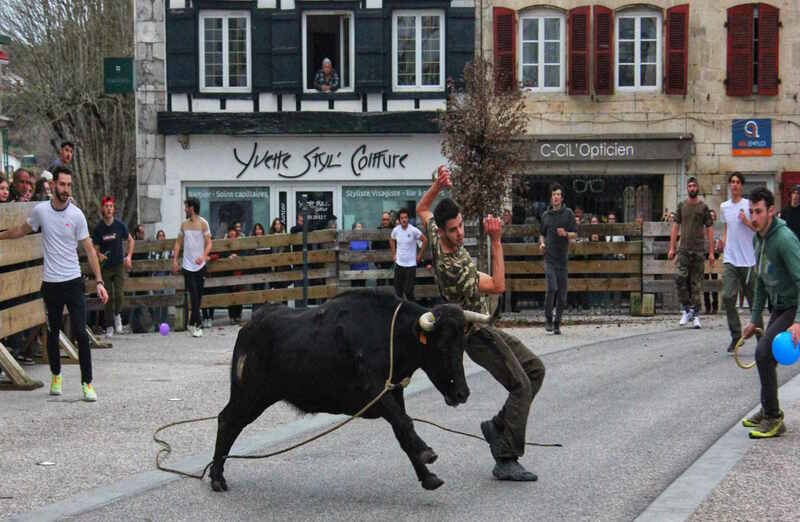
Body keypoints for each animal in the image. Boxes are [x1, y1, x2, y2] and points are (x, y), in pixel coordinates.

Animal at [209, 290, 484, 490]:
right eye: (441, 346)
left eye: (462, 345)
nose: (462, 393)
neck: (391, 333)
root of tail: (249, 326)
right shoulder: (374, 390)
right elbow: (405, 423)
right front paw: (427, 453)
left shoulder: (393, 393)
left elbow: (402, 429)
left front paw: (427, 476)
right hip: (250, 394)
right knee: (227, 421)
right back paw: (217, 478)